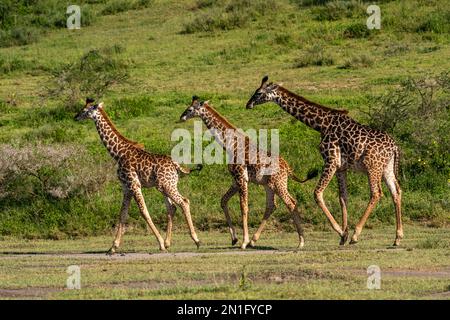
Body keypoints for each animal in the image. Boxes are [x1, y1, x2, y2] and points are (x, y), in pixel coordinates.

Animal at [74, 99, 201, 254]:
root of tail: (176, 165)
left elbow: (143, 211)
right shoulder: (126, 187)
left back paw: (196, 240)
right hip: (165, 186)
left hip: (166, 185)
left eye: (84, 110)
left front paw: (160, 244)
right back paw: (169, 242)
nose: (76, 117)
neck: (118, 153)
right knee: (172, 207)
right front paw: (113, 247)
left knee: (184, 202)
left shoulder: (134, 184)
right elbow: (122, 214)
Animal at [179, 95, 316, 250]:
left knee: (291, 202)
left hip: (278, 183)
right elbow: (223, 201)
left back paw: (301, 242)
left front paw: (243, 241)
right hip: (269, 185)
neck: (230, 145)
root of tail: (287, 167)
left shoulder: (241, 177)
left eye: (190, 109)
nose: (181, 117)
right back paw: (254, 240)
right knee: (272, 205)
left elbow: (243, 207)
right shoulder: (235, 179)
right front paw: (234, 239)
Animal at [246, 76, 404, 246]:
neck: (322, 124)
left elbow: (317, 193)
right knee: (396, 192)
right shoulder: (341, 167)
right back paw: (397, 237)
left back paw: (356, 235)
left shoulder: (330, 161)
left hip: (372, 167)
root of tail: (395, 147)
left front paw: (342, 232)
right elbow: (343, 198)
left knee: (376, 193)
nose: (248, 104)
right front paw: (343, 235)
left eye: (259, 93)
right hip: (386, 168)